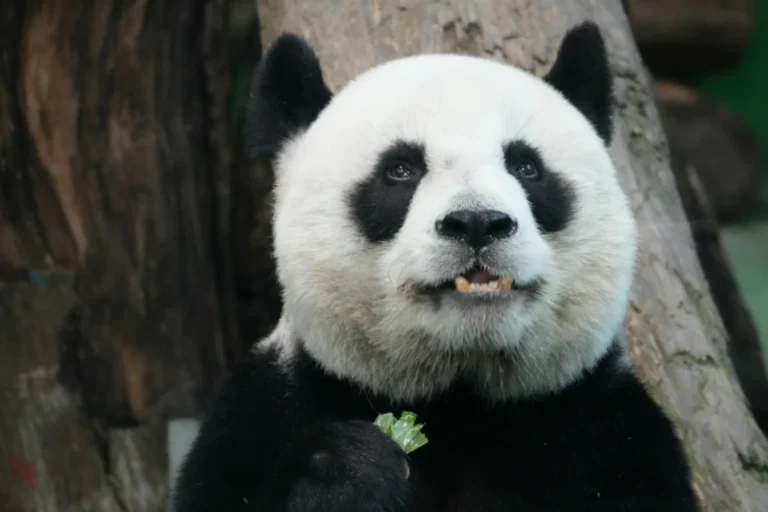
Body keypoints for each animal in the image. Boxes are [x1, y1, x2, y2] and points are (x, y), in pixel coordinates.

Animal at [173, 22, 700, 512]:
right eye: (400, 169)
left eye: (526, 167)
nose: (478, 223)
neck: (456, 403)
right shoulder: (269, 409)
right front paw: (350, 472)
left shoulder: (603, 430)